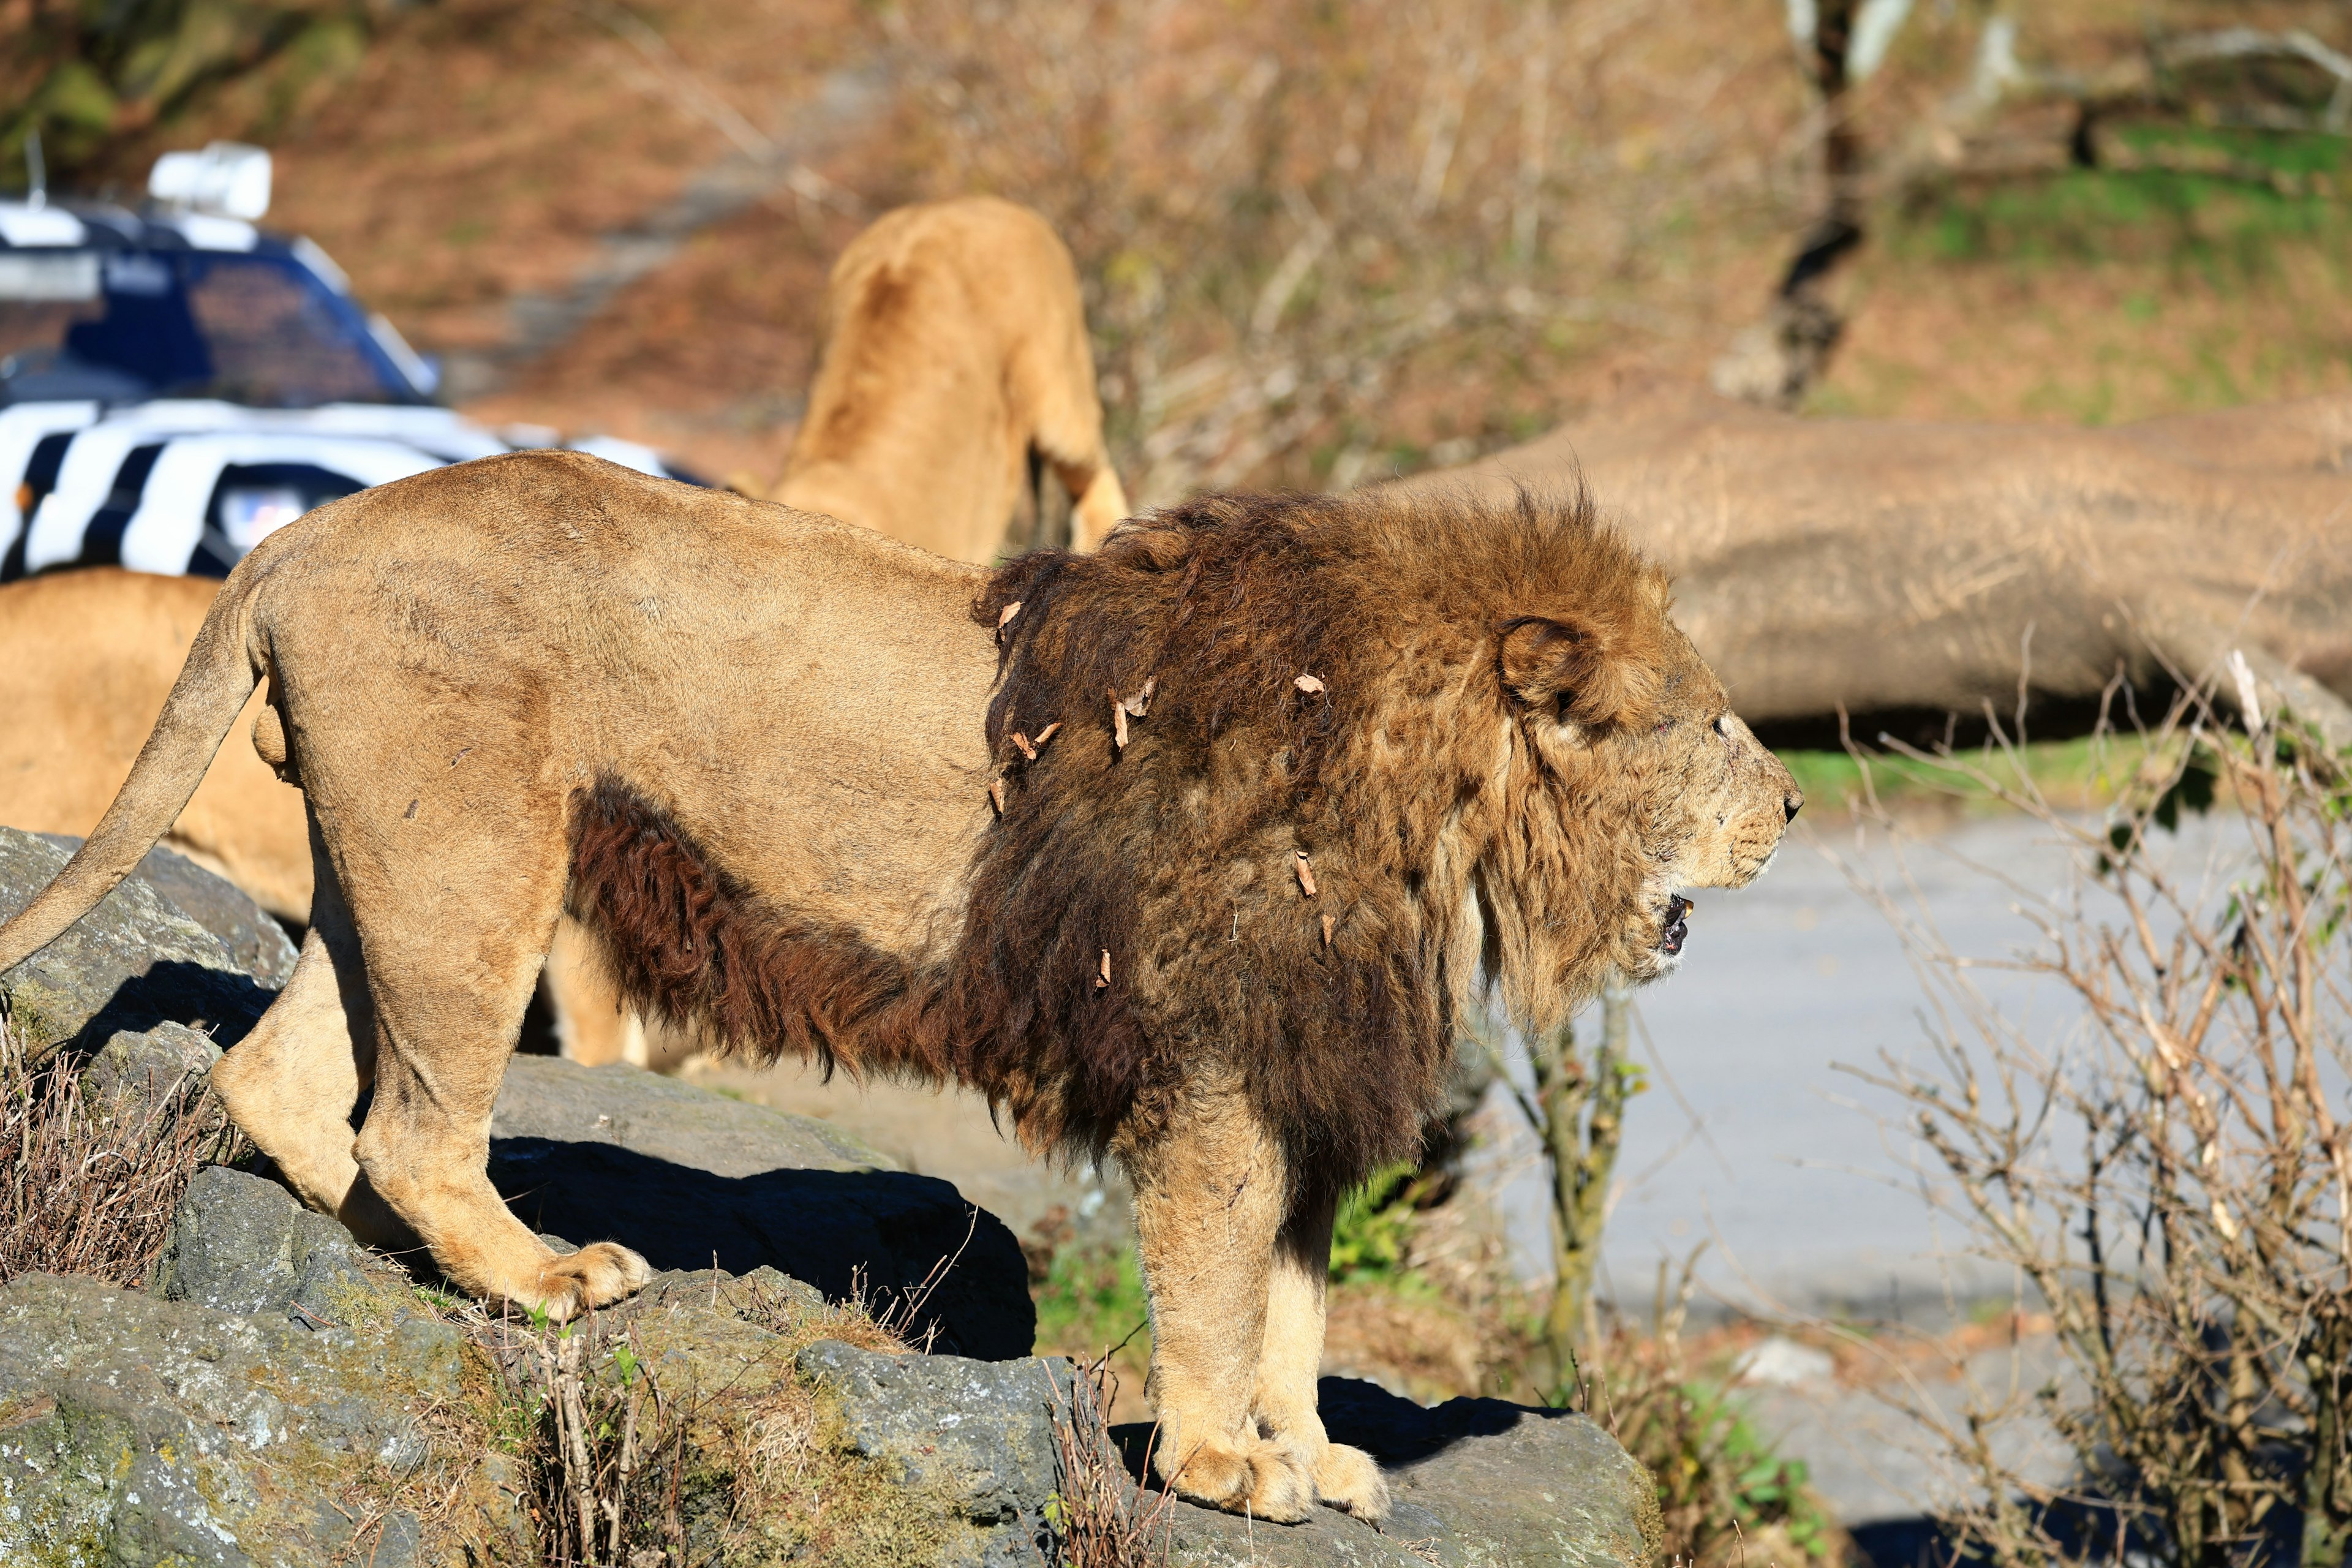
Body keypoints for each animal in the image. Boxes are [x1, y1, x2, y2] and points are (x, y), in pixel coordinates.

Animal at [0, 451, 1796, 1523]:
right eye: (1713, 722)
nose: (1795, 803)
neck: (1443, 819)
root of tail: (303, 529)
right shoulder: (1211, 1062)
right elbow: (1221, 1285)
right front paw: (1220, 1460)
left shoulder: (1296, 1063)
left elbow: (1293, 1296)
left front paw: (1308, 1447)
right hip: (481, 858)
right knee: (414, 1123)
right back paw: (541, 1276)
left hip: (400, 854)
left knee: (280, 1077)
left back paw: (390, 1240)